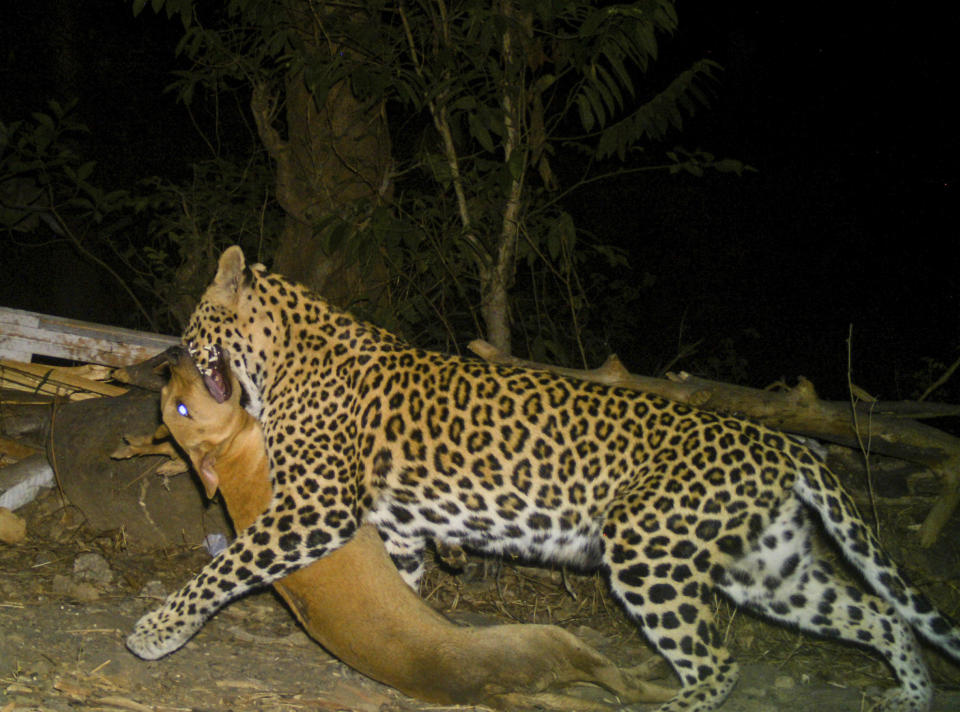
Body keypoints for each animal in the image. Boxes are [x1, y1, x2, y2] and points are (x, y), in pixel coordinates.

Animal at [156, 344, 668, 708]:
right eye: (180, 407)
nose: (172, 355)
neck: (233, 456)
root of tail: (485, 691)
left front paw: (452, 550)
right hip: (554, 639)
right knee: (624, 683)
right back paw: (663, 678)